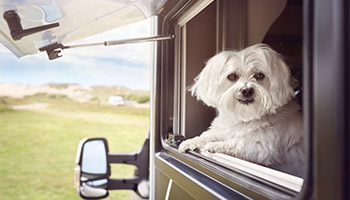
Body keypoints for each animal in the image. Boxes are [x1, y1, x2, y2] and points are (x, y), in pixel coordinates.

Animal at [178, 43, 304, 177]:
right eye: (232, 76)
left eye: (260, 75)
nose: (246, 90)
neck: (247, 116)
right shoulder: (224, 130)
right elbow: (208, 134)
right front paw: (191, 141)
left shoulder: (263, 148)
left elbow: (238, 142)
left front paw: (216, 145)